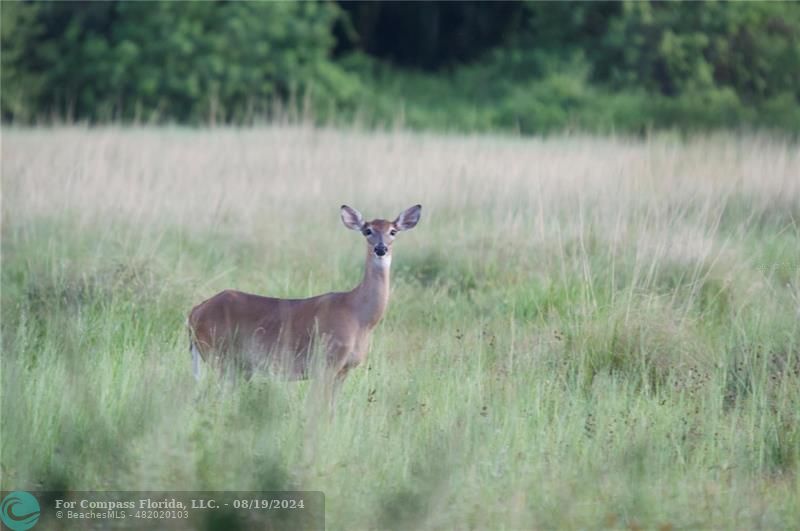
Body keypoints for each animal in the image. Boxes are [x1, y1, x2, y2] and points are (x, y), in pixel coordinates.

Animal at [187, 206, 422, 402]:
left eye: (393, 231)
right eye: (367, 230)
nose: (381, 249)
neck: (360, 318)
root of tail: (194, 312)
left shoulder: (344, 369)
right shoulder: (326, 362)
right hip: (220, 355)